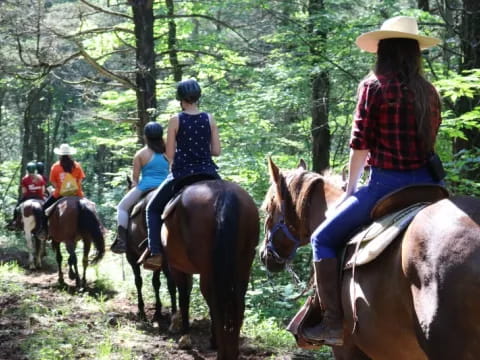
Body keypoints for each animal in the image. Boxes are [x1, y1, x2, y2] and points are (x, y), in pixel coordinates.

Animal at [124, 184, 177, 322]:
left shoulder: (131, 257)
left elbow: (138, 281)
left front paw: (142, 310)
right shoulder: (155, 262)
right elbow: (156, 283)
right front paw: (157, 312)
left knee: (171, 282)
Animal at [162, 180, 260, 360]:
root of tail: (224, 193)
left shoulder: (177, 268)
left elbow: (184, 297)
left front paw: (185, 336)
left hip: (208, 269)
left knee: (215, 302)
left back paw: (222, 352)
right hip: (243, 264)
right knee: (237, 302)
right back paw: (232, 351)